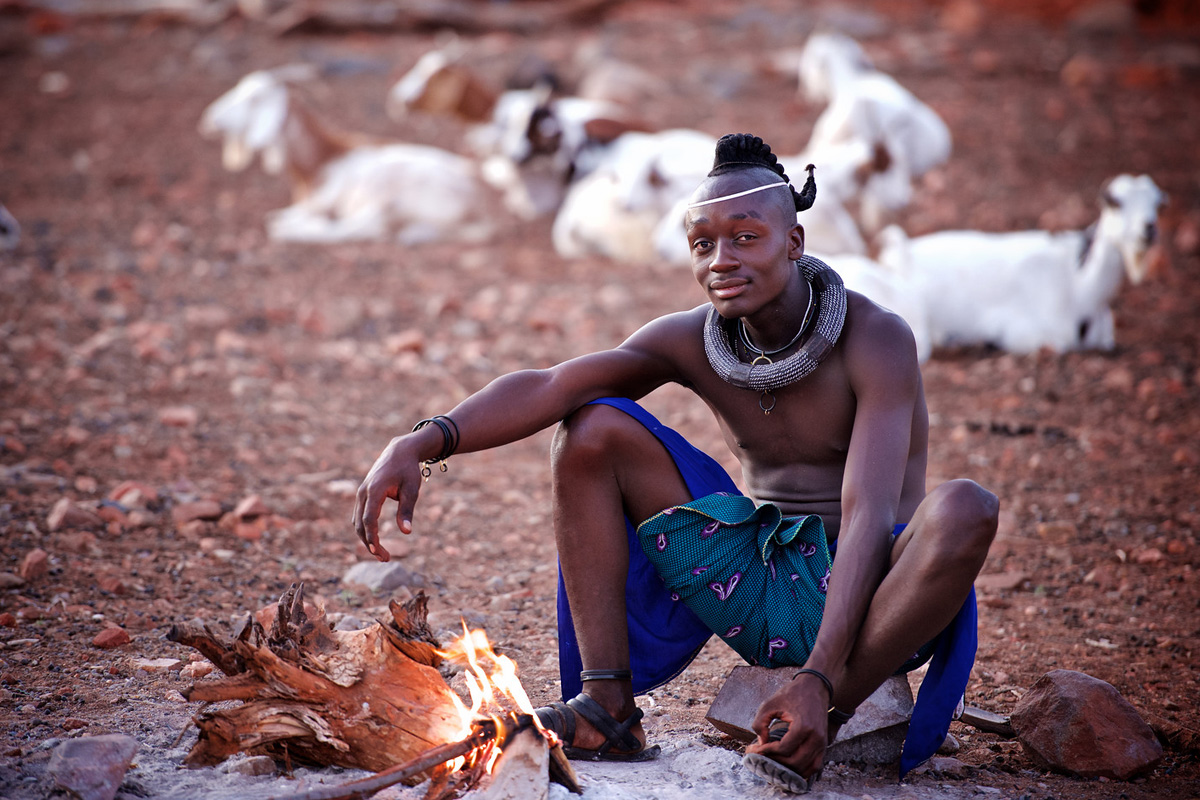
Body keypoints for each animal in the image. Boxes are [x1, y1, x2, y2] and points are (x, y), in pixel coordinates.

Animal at [199, 68, 494, 244]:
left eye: (255, 99)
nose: (210, 118)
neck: (321, 160)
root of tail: (479, 205)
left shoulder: (330, 199)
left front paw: (290, 224)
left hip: (385, 185)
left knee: (366, 228)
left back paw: (290, 231)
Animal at [878, 175, 1166, 352]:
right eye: (1116, 203)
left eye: (1157, 204)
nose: (1148, 228)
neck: (1080, 289)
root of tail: (902, 251)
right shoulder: (1023, 334)